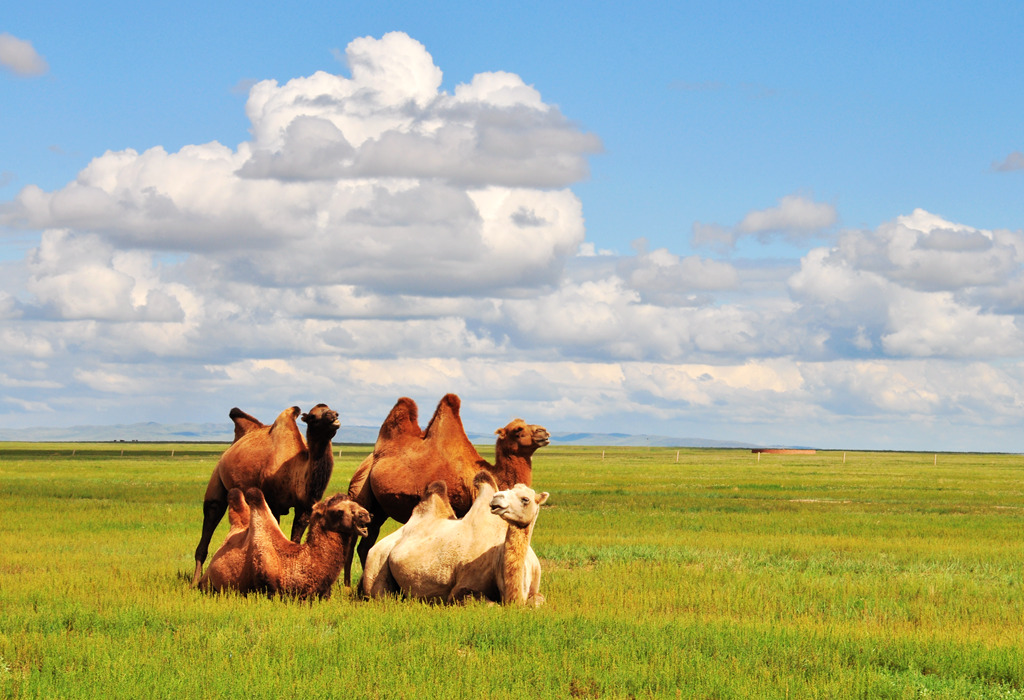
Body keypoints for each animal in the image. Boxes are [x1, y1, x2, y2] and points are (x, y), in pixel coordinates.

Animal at [188, 401, 339, 589]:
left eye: (331, 410)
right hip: (217, 480)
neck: (296, 470)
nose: (334, 416)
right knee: (210, 518)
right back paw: (195, 581)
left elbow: (295, 541)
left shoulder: (304, 508)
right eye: (313, 416)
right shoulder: (273, 503)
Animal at [342, 392, 552, 585]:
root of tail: (370, 459)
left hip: (379, 509)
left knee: (366, 542)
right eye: (518, 429)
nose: (544, 432)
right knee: (352, 539)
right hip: (361, 491)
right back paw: (347, 585)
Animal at [362, 470, 548, 605]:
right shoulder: (461, 588)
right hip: (376, 560)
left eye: (525, 499)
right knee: (381, 594)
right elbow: (489, 603)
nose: (496, 498)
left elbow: (538, 600)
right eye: (508, 490)